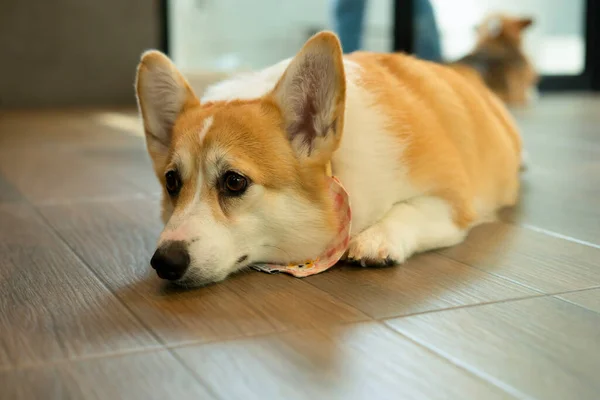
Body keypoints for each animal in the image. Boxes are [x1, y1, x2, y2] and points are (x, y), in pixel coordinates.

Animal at [136, 32, 524, 286]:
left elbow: (408, 209)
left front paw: (375, 239)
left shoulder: (453, 199)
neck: (337, 170)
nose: (164, 261)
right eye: (172, 181)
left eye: (234, 181)